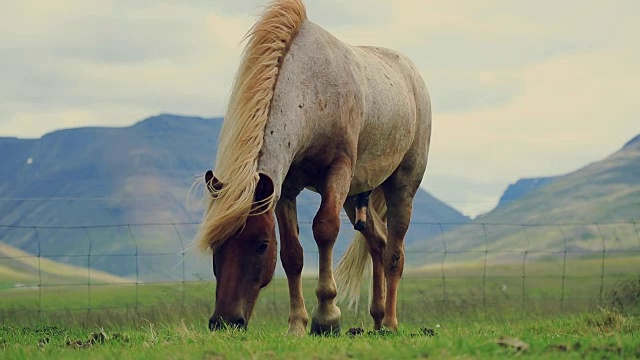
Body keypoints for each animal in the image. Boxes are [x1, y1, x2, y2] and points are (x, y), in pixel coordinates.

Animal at [196, 0, 430, 336]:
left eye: (261, 245)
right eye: (215, 244)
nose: (225, 321)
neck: (313, 90)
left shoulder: (337, 172)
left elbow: (324, 230)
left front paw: (326, 316)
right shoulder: (285, 189)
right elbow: (292, 254)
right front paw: (297, 323)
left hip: (402, 186)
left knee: (395, 252)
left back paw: (389, 322)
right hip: (355, 196)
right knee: (378, 242)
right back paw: (376, 317)